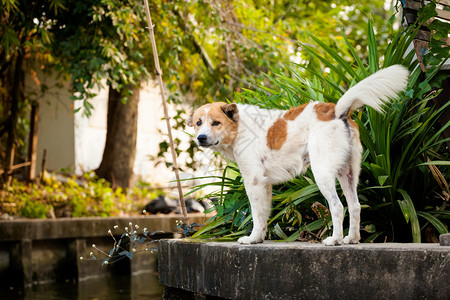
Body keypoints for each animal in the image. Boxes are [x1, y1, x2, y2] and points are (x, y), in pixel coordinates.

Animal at [188, 64, 410, 245]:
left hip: (322, 174)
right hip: (348, 174)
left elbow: (256, 213)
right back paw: (352, 238)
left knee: (338, 207)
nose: (201, 138)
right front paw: (259, 238)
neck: (240, 127)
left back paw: (335, 240)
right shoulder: (265, 185)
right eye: (198, 122)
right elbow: (264, 214)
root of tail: (336, 111)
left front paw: (251, 238)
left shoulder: (253, 182)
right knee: (355, 206)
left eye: (216, 123)